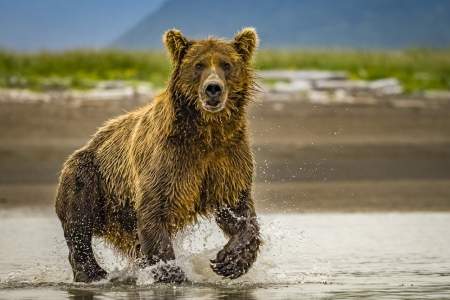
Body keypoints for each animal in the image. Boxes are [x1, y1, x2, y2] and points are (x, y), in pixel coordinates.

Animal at [55, 27, 262, 284]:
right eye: (199, 65)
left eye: (226, 64)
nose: (213, 88)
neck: (206, 133)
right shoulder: (168, 160)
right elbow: (155, 212)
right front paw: (174, 274)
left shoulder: (228, 159)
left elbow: (238, 210)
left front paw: (231, 260)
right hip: (91, 176)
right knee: (79, 220)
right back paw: (91, 272)